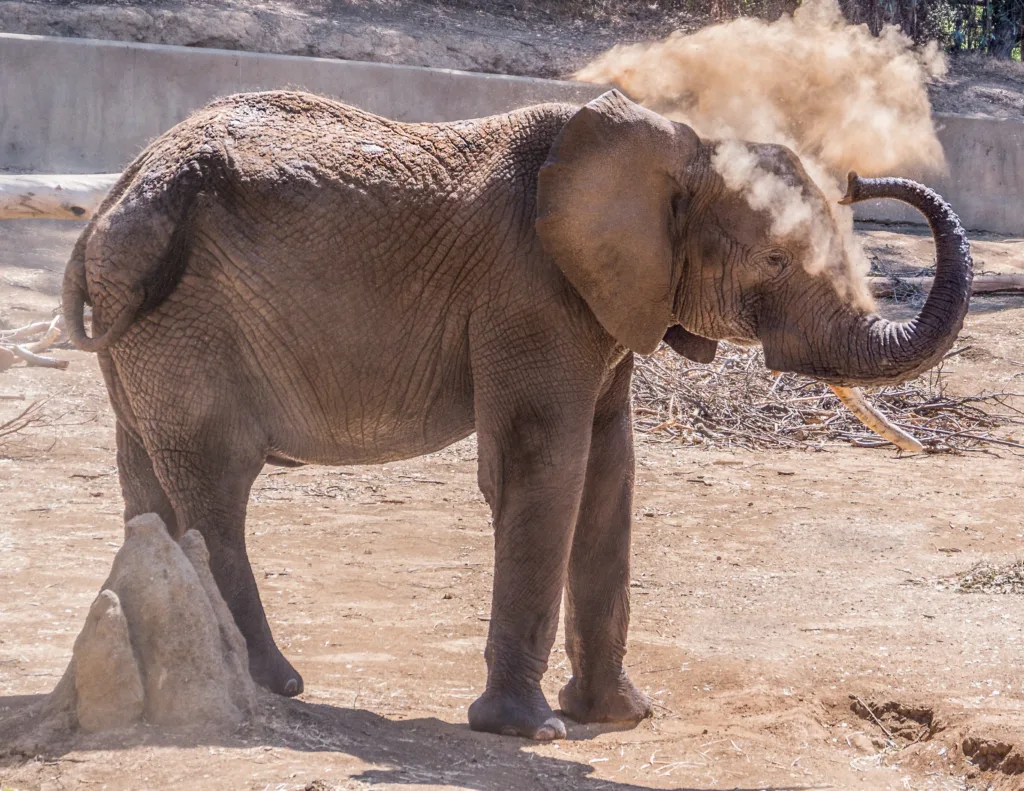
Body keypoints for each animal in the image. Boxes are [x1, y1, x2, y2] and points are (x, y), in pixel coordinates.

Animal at [62, 88, 972, 740]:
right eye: (776, 260)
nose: (864, 177)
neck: (674, 146)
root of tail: (119, 188)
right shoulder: (530, 294)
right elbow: (545, 466)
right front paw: (530, 731)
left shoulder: (605, 303)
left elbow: (609, 472)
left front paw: (621, 716)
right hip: (189, 323)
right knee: (215, 487)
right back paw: (272, 683)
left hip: (143, 326)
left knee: (147, 480)